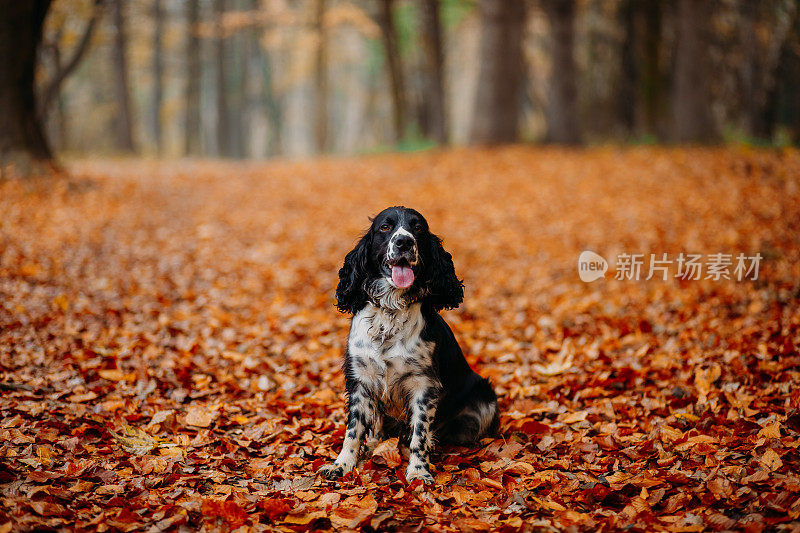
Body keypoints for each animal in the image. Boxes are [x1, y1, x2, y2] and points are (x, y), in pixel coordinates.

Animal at [320, 205, 500, 482]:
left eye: (418, 228)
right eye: (385, 227)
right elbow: (353, 431)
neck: (390, 314)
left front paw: (418, 472)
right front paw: (342, 465)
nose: (404, 241)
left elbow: (420, 434)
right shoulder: (360, 380)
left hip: (485, 398)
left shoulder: (423, 385)